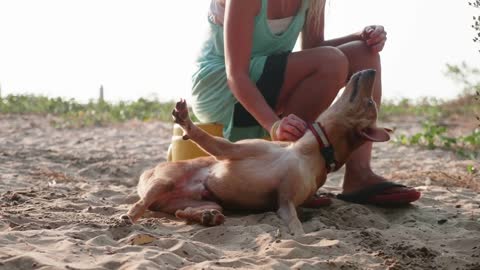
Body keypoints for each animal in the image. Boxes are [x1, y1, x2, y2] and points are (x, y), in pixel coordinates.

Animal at [123, 69, 390, 234]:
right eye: (371, 103)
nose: (372, 71)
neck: (312, 151)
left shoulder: (285, 203)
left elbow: (296, 226)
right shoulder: (229, 149)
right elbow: (204, 137)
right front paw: (186, 122)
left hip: (205, 200)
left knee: (180, 211)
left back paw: (207, 217)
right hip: (165, 182)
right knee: (141, 204)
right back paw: (132, 216)